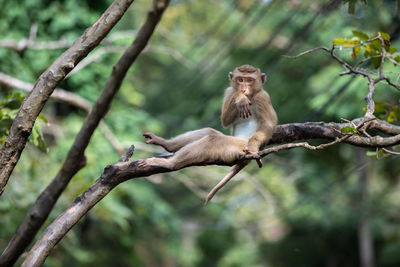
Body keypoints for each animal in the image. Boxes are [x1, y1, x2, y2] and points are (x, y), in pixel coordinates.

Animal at [139, 65, 276, 205]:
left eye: (249, 80)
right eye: (240, 79)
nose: (243, 88)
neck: (251, 96)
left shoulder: (263, 97)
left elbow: (268, 125)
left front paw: (253, 147)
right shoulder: (229, 91)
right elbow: (225, 120)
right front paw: (239, 97)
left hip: (239, 146)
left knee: (211, 140)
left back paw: (170, 164)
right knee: (208, 131)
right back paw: (167, 144)